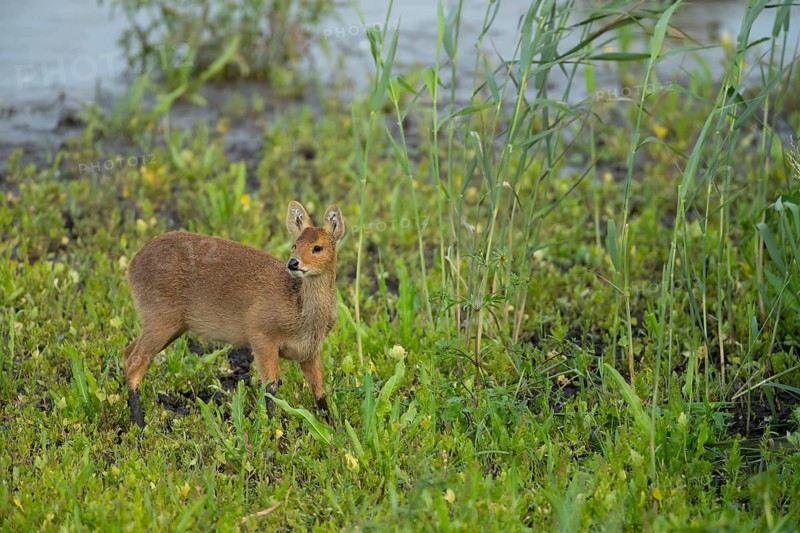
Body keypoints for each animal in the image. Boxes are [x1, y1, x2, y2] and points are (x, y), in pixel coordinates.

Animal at [123, 201, 345, 427]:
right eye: (295, 245)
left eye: (317, 247)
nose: (292, 263)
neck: (300, 311)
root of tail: (132, 265)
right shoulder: (262, 339)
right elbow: (271, 388)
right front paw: (272, 429)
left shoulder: (310, 352)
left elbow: (319, 391)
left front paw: (332, 426)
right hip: (160, 322)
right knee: (133, 365)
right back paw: (139, 425)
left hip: (169, 328)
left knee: (126, 354)